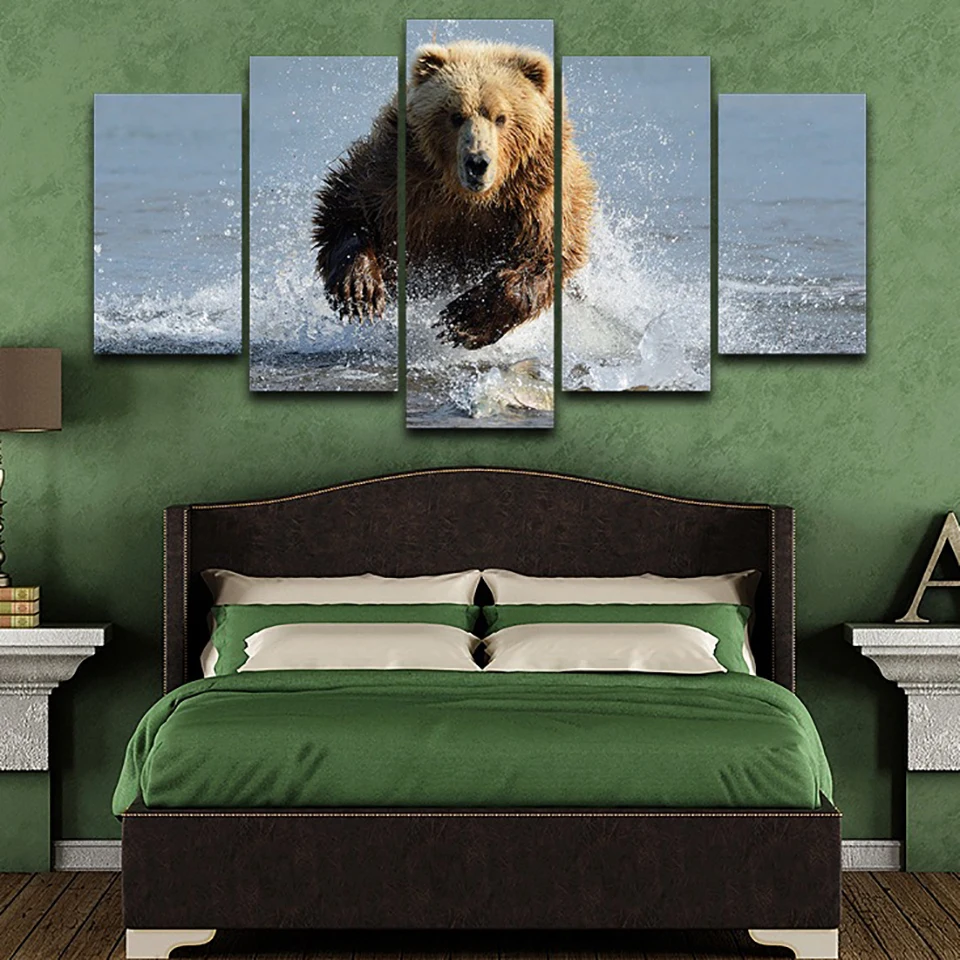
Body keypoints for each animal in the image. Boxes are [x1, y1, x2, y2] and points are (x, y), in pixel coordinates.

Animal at [312, 40, 595, 349]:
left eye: (501, 117)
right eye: (456, 116)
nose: (477, 162)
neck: (467, 196)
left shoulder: (535, 194)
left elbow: (542, 254)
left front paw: (464, 320)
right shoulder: (397, 174)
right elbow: (347, 208)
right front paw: (360, 290)